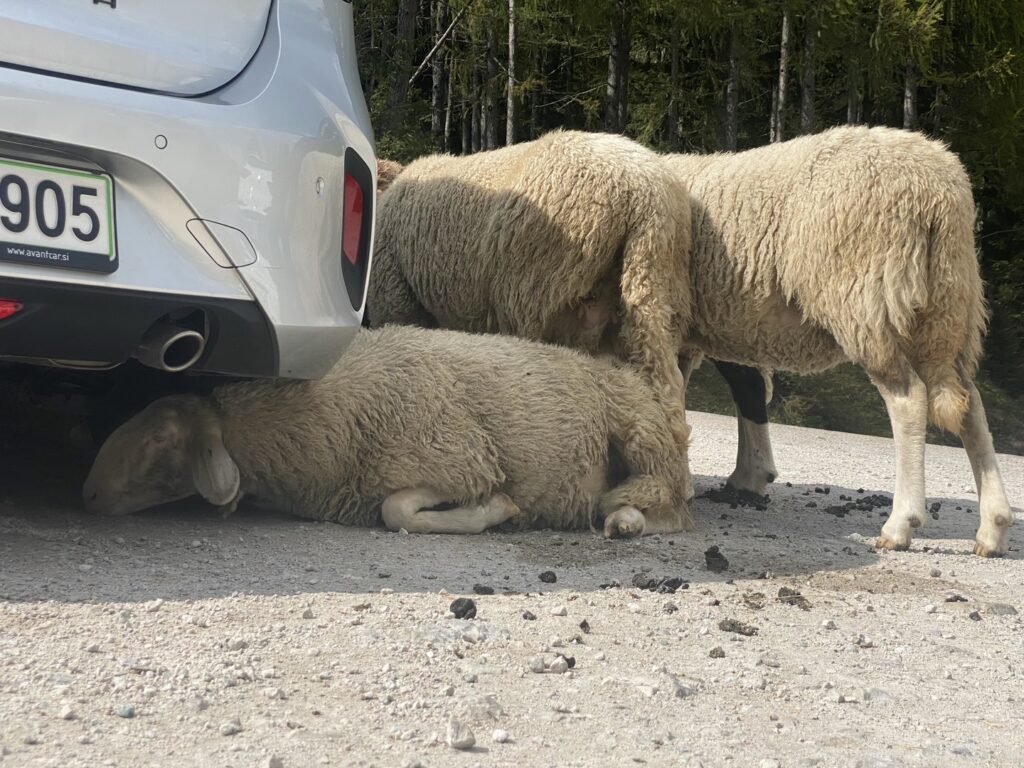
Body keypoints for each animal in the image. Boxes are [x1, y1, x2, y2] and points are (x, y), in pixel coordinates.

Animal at [79, 327, 688, 536]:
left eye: (161, 438)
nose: (87, 494)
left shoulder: (463, 459)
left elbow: (397, 512)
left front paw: (498, 510)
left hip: (640, 430)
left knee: (672, 507)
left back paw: (625, 517)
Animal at [667, 128, 1011, 561]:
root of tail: (938, 192)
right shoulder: (716, 326)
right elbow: (740, 390)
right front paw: (745, 477)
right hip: (945, 309)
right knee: (969, 404)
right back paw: (993, 528)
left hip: (869, 300)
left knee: (909, 398)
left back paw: (901, 524)